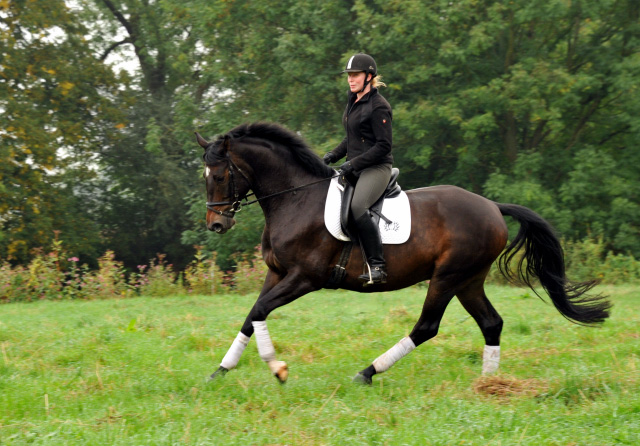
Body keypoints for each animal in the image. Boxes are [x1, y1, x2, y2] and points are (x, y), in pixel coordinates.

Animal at [198, 121, 612, 384]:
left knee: (427, 327)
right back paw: (489, 383)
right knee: (491, 323)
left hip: (447, 277)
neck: (296, 199)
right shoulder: (278, 273)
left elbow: (260, 312)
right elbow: (252, 314)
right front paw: (221, 370)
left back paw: (367, 373)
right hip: (469, 280)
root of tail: (492, 206)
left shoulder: (305, 278)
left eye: (219, 175)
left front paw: (277, 368)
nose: (217, 224)